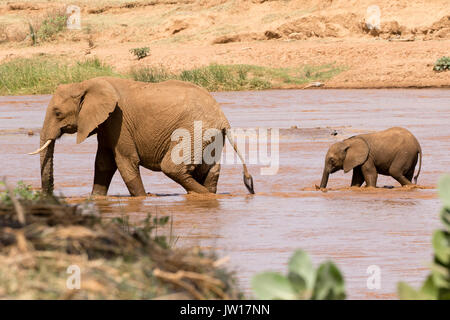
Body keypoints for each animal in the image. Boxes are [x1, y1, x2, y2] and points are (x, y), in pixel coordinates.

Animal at [29, 78, 253, 198]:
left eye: (57, 113)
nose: (46, 196)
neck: (85, 83)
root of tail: (223, 118)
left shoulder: (118, 121)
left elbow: (125, 162)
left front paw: (142, 199)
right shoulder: (107, 124)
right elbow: (103, 163)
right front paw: (96, 199)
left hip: (194, 131)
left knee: (172, 167)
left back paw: (202, 195)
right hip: (208, 136)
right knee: (209, 170)